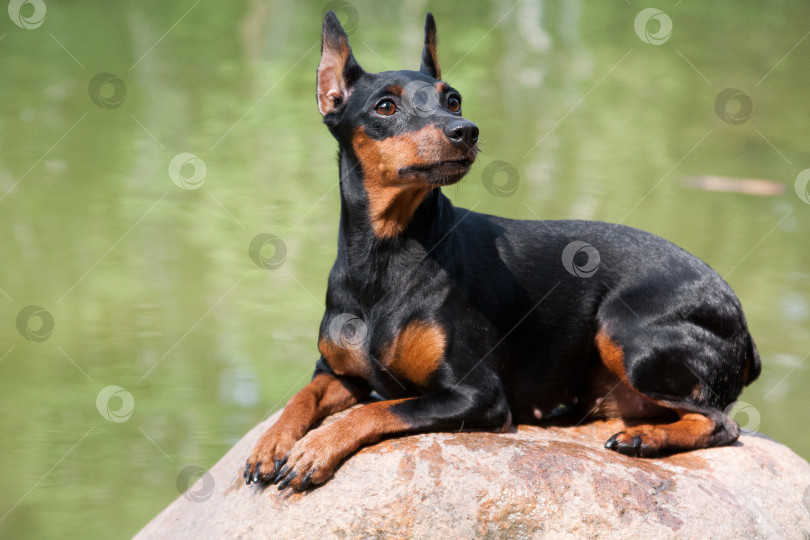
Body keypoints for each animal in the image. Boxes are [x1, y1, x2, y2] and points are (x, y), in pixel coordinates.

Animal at [241, 10, 756, 492]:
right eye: (386, 106)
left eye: (453, 99)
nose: (465, 130)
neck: (385, 255)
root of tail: (743, 328)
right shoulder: (336, 372)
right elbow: (300, 398)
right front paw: (271, 445)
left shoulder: (477, 395)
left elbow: (378, 411)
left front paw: (316, 449)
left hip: (623, 329)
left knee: (720, 422)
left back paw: (645, 437)